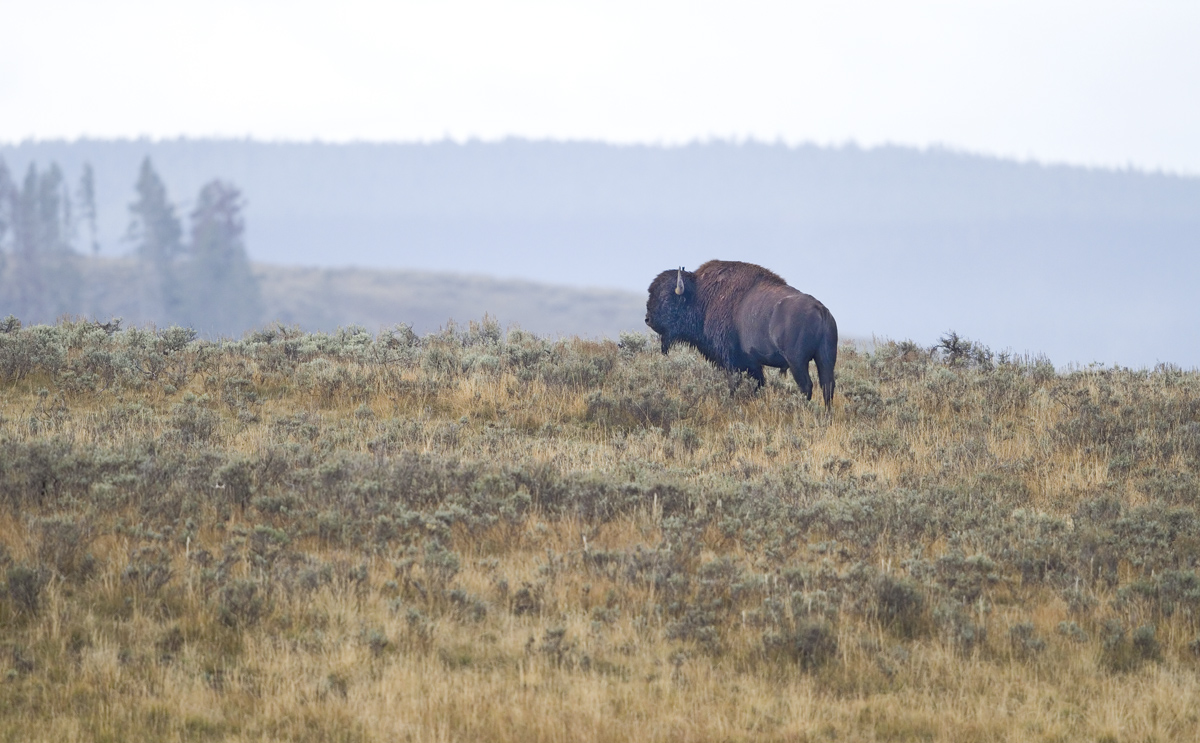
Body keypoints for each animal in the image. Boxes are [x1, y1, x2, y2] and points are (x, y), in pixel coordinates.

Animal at [645, 260, 838, 410]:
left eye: (666, 298)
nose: (648, 319)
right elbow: (758, 383)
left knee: (807, 386)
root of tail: (821, 310)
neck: (701, 296)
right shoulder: (752, 363)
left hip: (797, 362)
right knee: (827, 385)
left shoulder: (731, 360)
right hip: (825, 358)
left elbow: (734, 383)